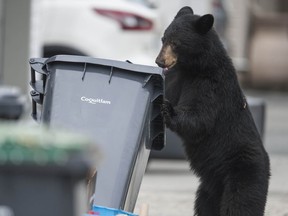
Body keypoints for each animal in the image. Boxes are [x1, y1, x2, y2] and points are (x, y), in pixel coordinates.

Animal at [155, 5, 270, 215]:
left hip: (244, 174)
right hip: (209, 188)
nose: (159, 61)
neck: (196, 66)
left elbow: (200, 117)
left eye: (176, 43)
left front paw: (168, 109)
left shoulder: (211, 85)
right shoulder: (178, 77)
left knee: (240, 204)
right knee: (205, 205)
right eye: (163, 39)